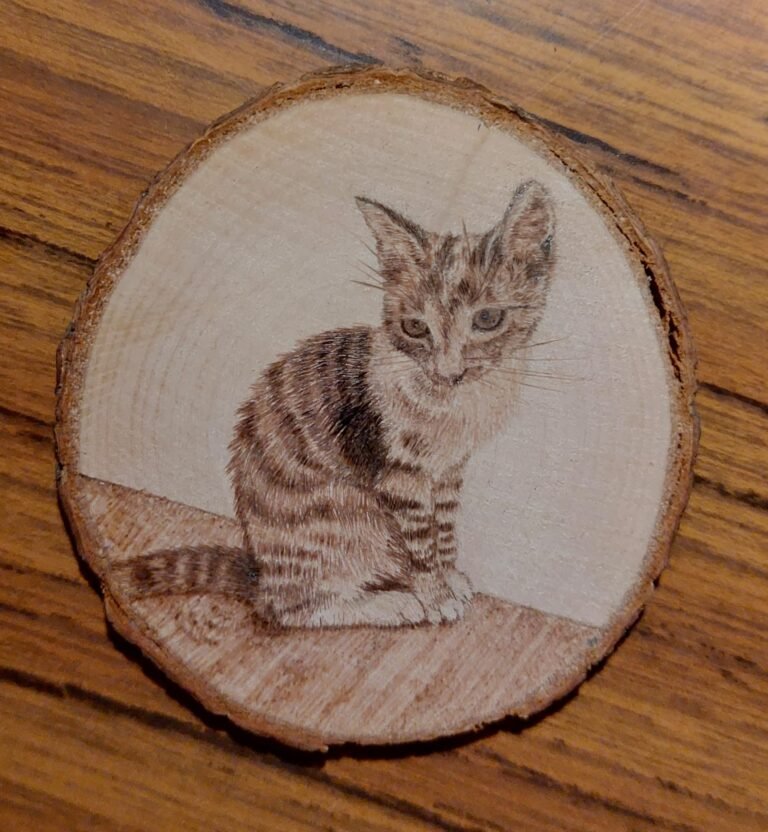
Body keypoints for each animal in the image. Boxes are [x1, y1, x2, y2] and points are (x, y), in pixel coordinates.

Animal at [113, 180, 556, 629]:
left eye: (487, 320)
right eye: (415, 327)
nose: (449, 372)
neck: (455, 404)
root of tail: (260, 575)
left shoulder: (448, 469)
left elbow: (445, 528)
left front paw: (449, 576)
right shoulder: (399, 476)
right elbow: (420, 543)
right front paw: (434, 592)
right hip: (346, 518)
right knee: (293, 608)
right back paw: (389, 603)